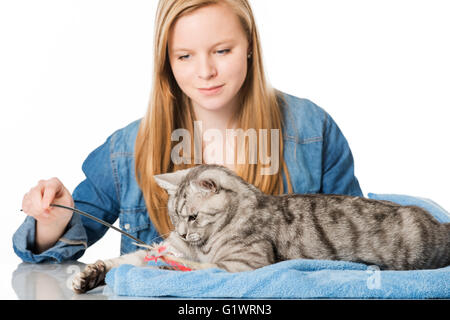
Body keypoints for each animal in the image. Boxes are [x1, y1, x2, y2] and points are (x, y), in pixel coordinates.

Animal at [72, 165, 448, 292]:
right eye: (175, 217)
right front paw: (91, 273)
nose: (180, 233)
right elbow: (128, 261)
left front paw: (168, 268)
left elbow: (198, 268)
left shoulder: (242, 266)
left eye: (192, 217)